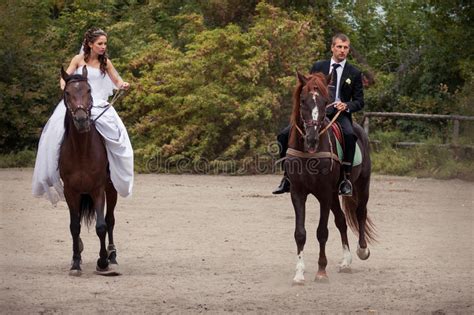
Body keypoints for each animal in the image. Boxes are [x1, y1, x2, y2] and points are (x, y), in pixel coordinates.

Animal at [58, 66, 118, 276]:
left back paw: (112, 256)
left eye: (88, 90)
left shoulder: (97, 189)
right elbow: (74, 226)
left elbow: (101, 226)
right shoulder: (70, 191)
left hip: (111, 189)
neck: (82, 151)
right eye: (67, 93)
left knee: (110, 220)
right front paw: (76, 263)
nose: (82, 120)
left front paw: (103, 262)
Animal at [284, 73, 376, 286]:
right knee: (341, 220)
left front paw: (321, 271)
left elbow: (322, 232)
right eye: (303, 101)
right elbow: (300, 233)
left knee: (360, 213)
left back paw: (362, 250)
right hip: (335, 194)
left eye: (325, 102)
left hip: (361, 185)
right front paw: (299, 274)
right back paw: (346, 261)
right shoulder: (298, 192)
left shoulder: (324, 193)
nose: (311, 140)